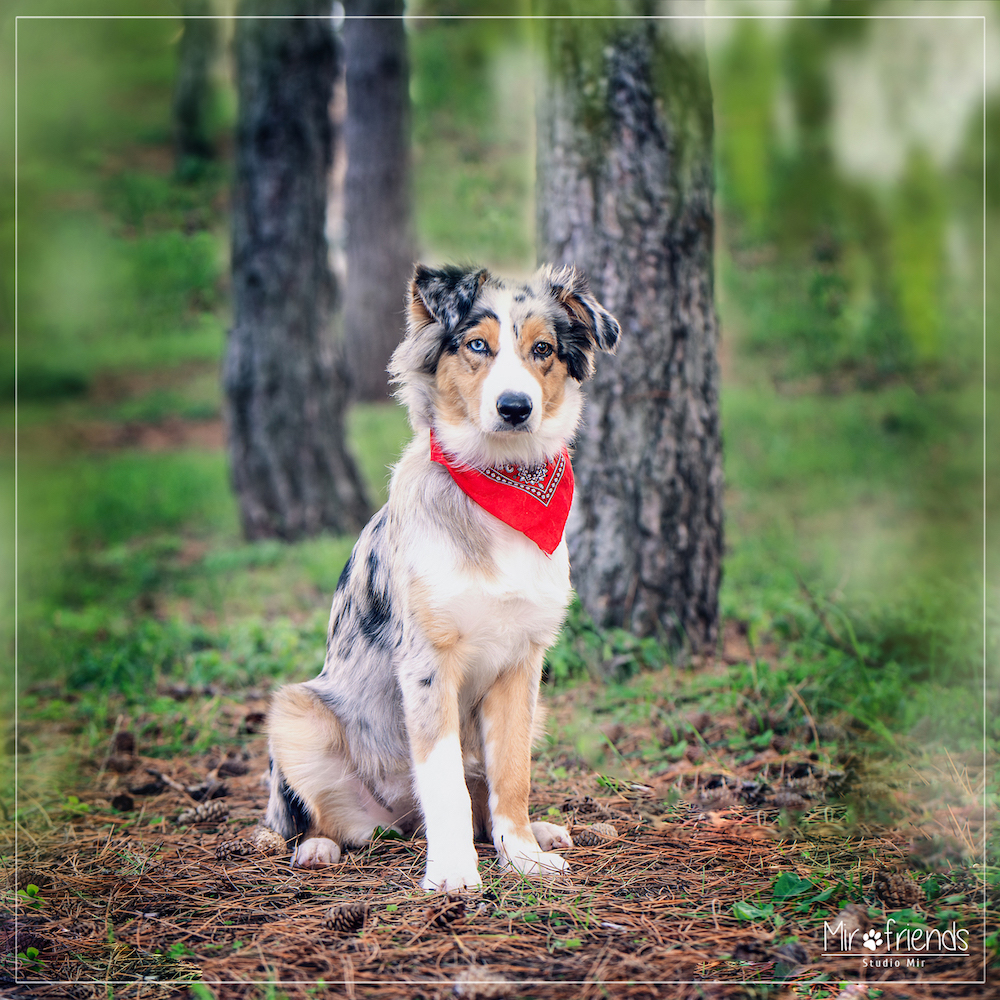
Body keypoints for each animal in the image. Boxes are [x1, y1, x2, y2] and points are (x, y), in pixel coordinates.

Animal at [264, 260, 616, 892]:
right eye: (477, 345)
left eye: (543, 350)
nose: (515, 407)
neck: (500, 483)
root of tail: (400, 820)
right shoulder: (428, 661)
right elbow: (444, 774)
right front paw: (453, 870)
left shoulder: (522, 663)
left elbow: (512, 774)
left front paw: (521, 856)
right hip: (297, 714)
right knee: (325, 819)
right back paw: (318, 848)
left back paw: (536, 832)